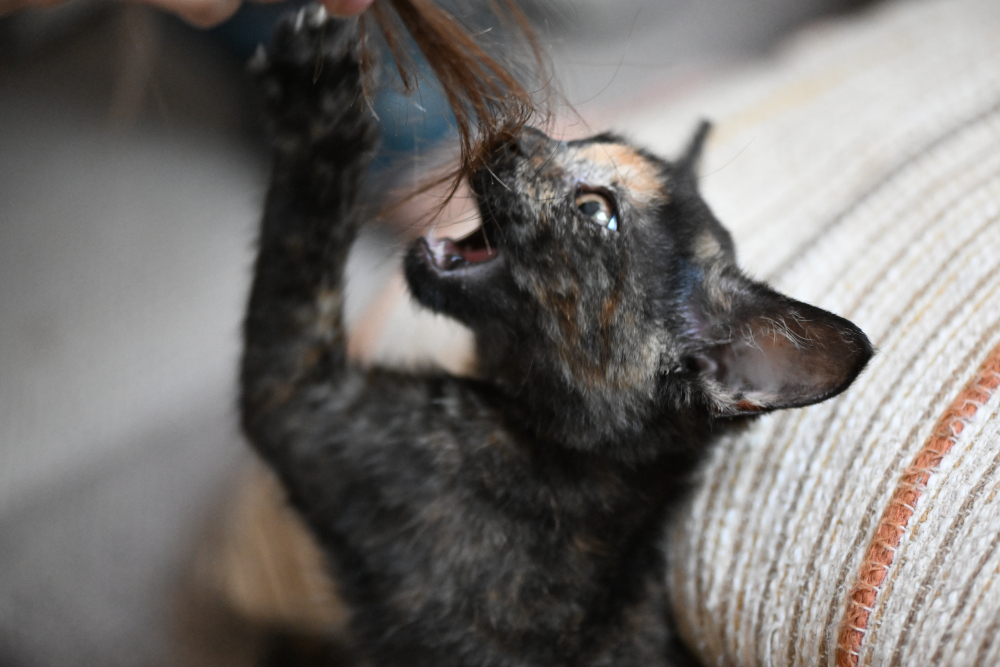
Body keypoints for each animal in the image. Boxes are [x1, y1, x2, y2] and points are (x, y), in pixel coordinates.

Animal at [238, 10, 872, 667]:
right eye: (588, 142)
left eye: (595, 212)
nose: (517, 133)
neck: (586, 458)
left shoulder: (311, 408)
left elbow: (299, 244)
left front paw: (320, 88)